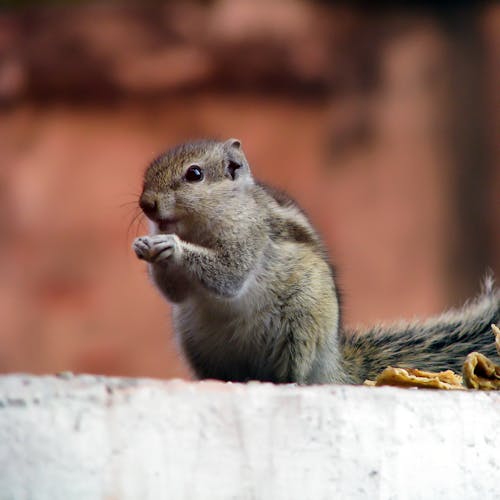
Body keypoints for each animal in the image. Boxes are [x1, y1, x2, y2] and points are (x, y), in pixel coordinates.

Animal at [133, 139, 500, 384]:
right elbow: (176, 292)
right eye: (148, 171)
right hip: (193, 338)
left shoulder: (249, 237)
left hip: (300, 322)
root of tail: (333, 366)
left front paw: (171, 246)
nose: (146, 204)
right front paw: (146, 246)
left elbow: (229, 274)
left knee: (296, 373)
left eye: (194, 174)